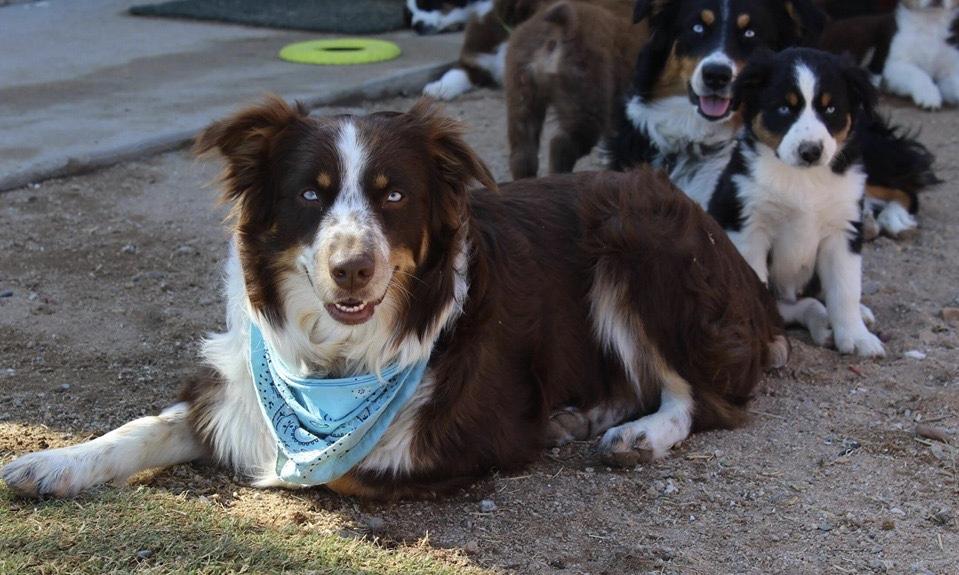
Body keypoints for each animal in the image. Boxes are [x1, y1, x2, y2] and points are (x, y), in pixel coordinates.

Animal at [2, 97, 786, 499]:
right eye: (311, 194)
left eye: (395, 196)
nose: (352, 268)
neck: (337, 362)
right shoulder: (241, 380)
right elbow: (160, 422)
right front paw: (55, 462)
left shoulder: (457, 440)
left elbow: (341, 469)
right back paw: (586, 413)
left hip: (636, 239)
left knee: (702, 400)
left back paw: (636, 433)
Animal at [687, 48, 885, 356]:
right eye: (784, 108)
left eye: (830, 109)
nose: (811, 151)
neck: (803, 181)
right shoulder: (748, 228)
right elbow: (755, 288)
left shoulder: (844, 229)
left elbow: (846, 289)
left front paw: (856, 336)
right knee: (793, 307)